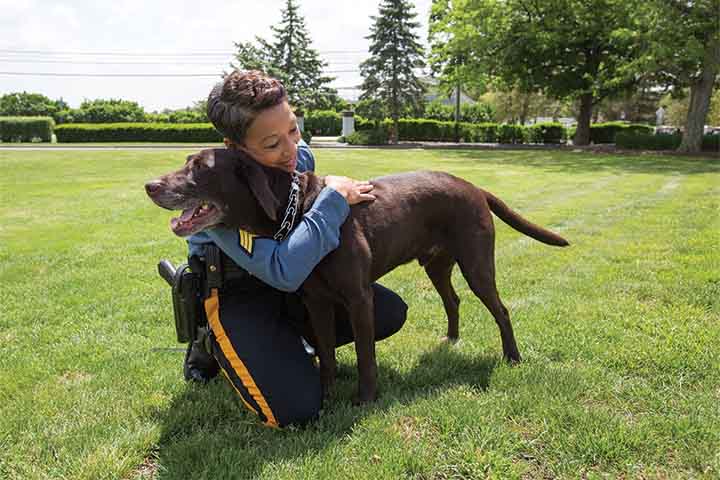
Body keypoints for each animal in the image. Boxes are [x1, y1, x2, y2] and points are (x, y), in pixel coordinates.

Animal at [146, 148, 572, 404]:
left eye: (201, 167)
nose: (150, 185)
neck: (299, 211)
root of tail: (474, 186)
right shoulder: (317, 302)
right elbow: (328, 354)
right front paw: (327, 393)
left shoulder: (358, 298)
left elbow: (366, 355)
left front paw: (365, 399)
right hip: (437, 265)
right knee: (453, 300)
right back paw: (451, 338)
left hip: (477, 263)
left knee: (501, 309)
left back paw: (512, 357)